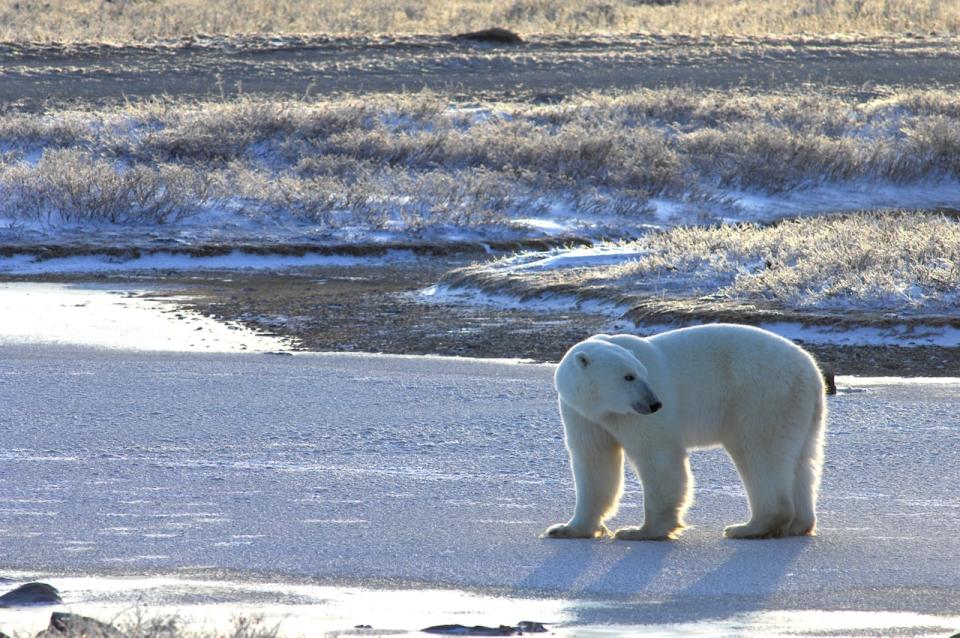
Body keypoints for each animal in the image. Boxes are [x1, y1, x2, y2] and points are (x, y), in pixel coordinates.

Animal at [548, 324, 824, 540]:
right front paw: (567, 529)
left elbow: (657, 456)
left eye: (643, 373)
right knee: (803, 460)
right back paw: (798, 525)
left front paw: (642, 531)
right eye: (628, 377)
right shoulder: (583, 414)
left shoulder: (634, 417)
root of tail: (811, 369)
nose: (654, 404)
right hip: (800, 408)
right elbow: (594, 461)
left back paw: (749, 527)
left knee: (758, 452)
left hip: (760, 396)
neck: (603, 407)